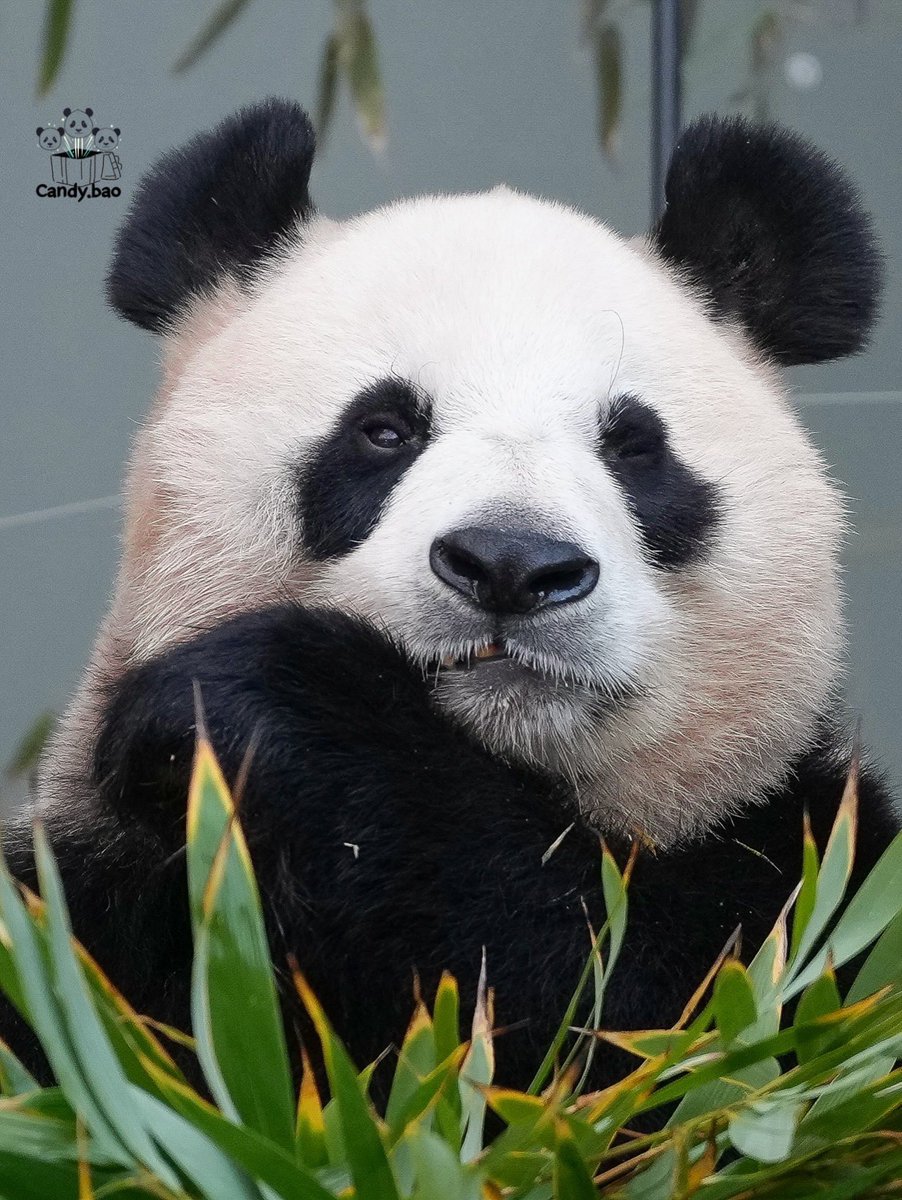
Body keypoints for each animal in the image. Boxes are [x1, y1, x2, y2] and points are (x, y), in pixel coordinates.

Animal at [3, 99, 898, 1103]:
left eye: (634, 446)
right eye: (384, 430)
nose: (512, 565)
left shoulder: (811, 882)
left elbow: (641, 1017)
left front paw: (273, 703)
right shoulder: (91, 908)